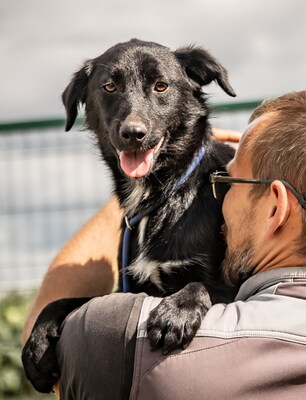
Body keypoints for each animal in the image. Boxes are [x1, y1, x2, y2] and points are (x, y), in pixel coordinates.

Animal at [22, 39, 237, 392]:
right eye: (109, 87)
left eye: (161, 86)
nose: (133, 133)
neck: (161, 197)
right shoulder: (128, 290)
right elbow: (66, 301)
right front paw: (37, 343)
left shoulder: (228, 284)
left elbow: (200, 286)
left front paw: (175, 313)